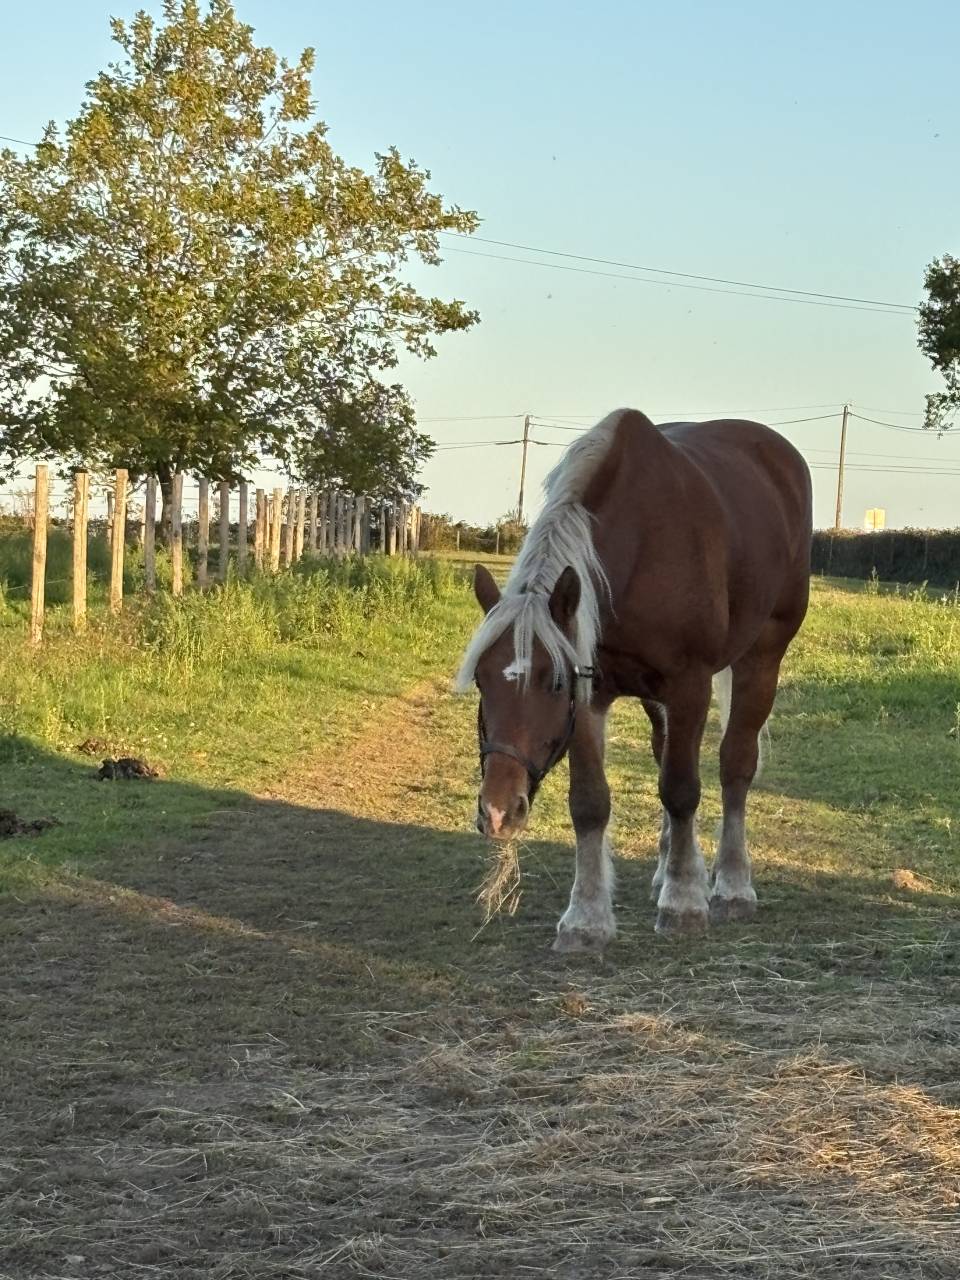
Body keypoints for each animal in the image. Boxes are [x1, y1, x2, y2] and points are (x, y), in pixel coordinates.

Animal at [456, 408, 812, 950]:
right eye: (481, 681)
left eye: (553, 683)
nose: (497, 811)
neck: (640, 544)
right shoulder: (591, 692)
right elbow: (589, 803)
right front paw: (586, 917)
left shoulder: (689, 685)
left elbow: (682, 789)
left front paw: (684, 902)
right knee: (665, 753)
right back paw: (667, 870)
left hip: (761, 658)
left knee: (735, 765)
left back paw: (730, 885)